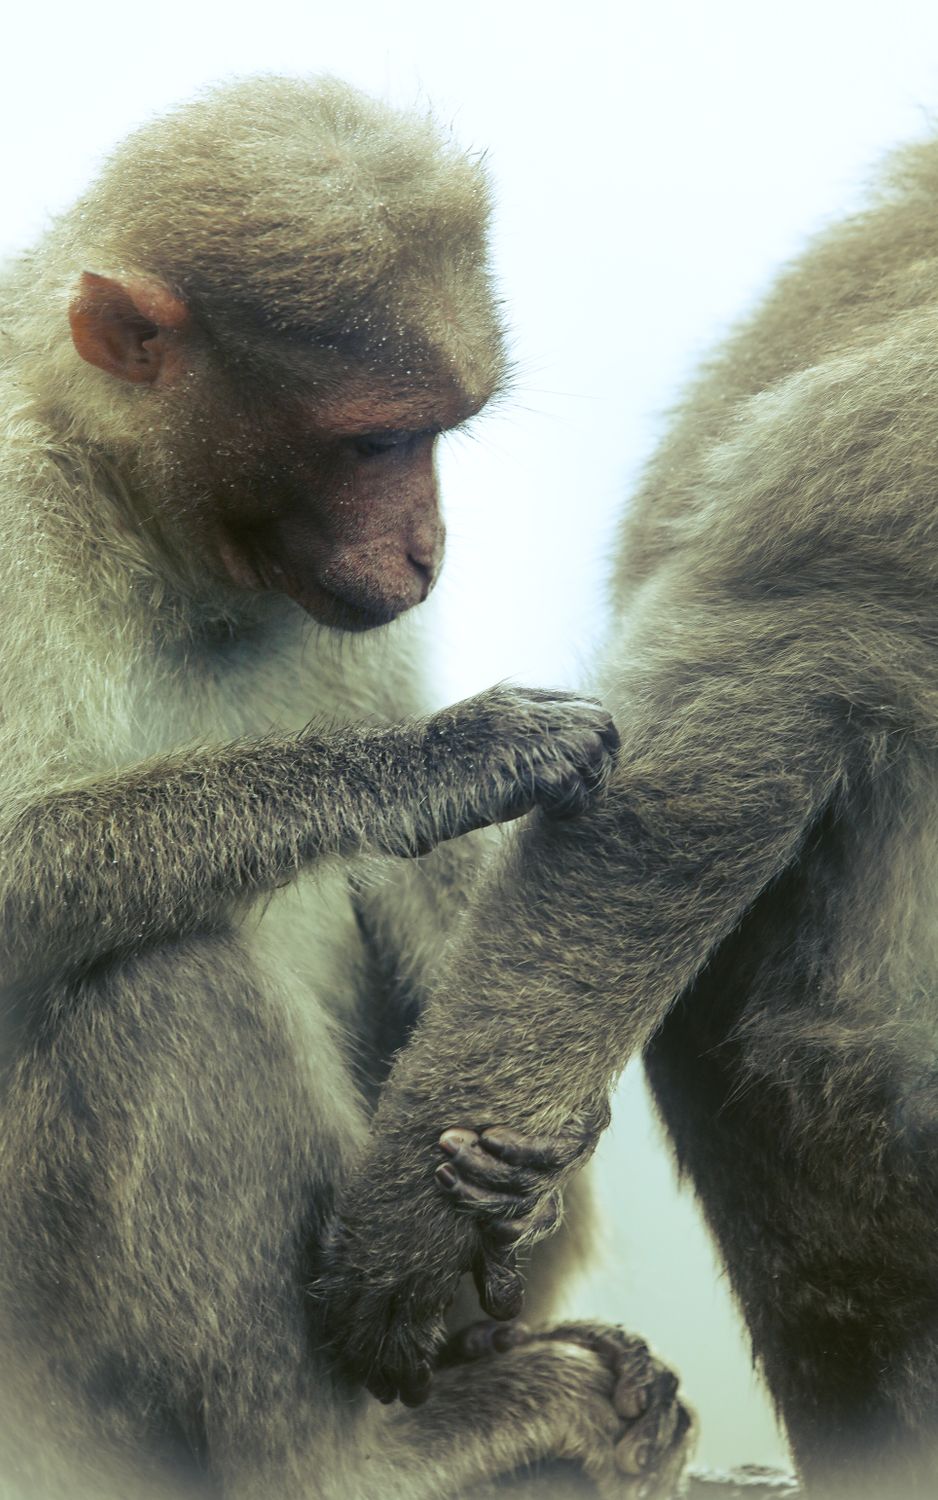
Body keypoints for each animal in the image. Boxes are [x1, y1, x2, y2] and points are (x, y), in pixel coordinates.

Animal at [0, 74, 696, 1500]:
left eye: (439, 433)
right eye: (375, 441)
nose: (429, 548)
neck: (140, 514)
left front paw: (523, 1180)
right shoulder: (11, 508)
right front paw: (451, 759)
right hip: (60, 1394)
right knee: (157, 972)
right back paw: (346, 1454)